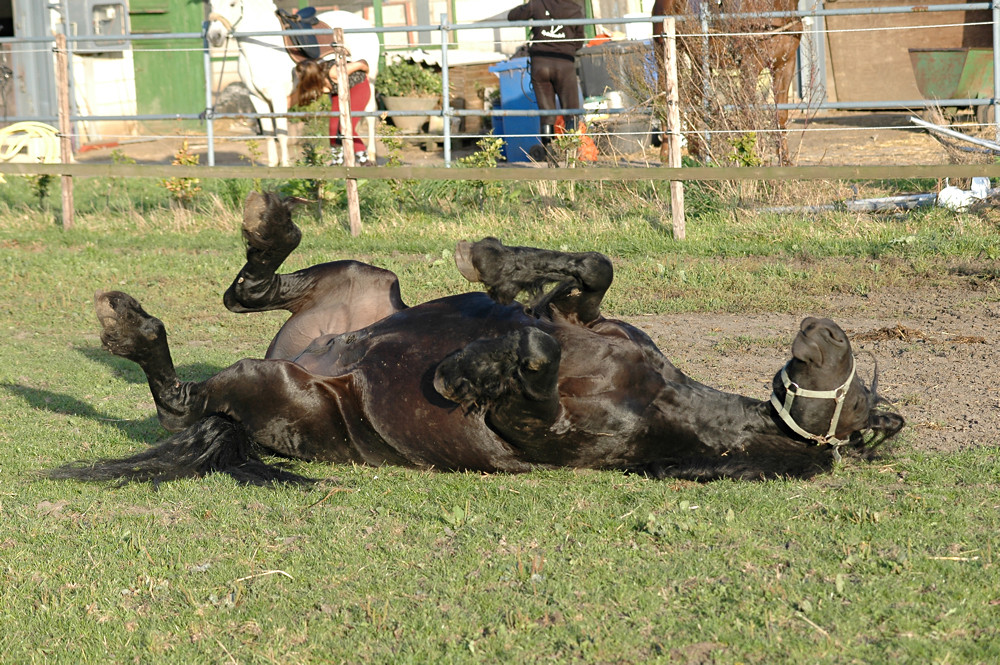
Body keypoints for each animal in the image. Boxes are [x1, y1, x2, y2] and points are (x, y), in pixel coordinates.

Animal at [209, 0, 380, 165]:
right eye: (211, 4)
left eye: (232, 4)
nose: (214, 36)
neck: (262, 46)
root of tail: (364, 23)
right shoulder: (256, 98)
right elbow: (269, 134)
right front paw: (272, 165)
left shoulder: (278, 98)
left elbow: (281, 134)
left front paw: (285, 166)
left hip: (369, 80)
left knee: (370, 114)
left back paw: (371, 156)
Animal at [648, 0, 804, 163]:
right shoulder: (750, 66)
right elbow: (749, 114)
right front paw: (750, 155)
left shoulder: (784, 66)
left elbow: (781, 115)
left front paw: (785, 160)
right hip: (665, 55)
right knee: (665, 99)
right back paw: (666, 153)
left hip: (698, 62)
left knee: (694, 98)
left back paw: (695, 149)